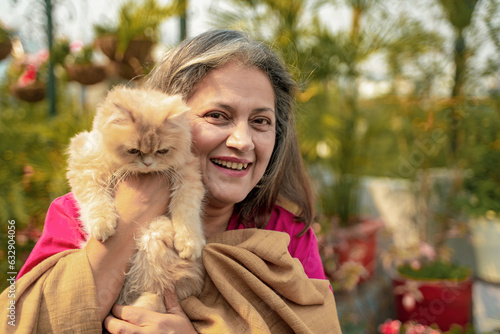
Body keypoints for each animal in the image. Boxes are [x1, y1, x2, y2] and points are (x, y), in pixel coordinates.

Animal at [66, 86, 205, 314]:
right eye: (133, 151)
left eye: (162, 151)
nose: (148, 163)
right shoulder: (85, 164)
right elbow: (96, 200)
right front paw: (102, 225)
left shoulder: (188, 174)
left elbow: (187, 213)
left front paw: (189, 243)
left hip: (153, 236)